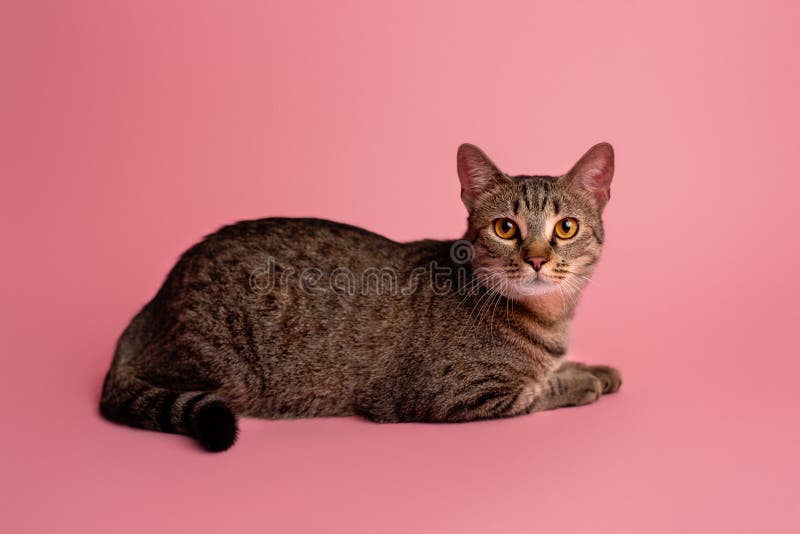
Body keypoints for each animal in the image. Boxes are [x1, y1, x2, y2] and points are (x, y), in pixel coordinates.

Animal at [100, 142, 620, 452]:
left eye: (566, 228)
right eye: (506, 229)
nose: (536, 259)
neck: (547, 318)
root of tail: (159, 296)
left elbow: (557, 369)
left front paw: (594, 368)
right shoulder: (453, 396)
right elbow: (538, 389)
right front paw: (580, 381)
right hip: (221, 367)